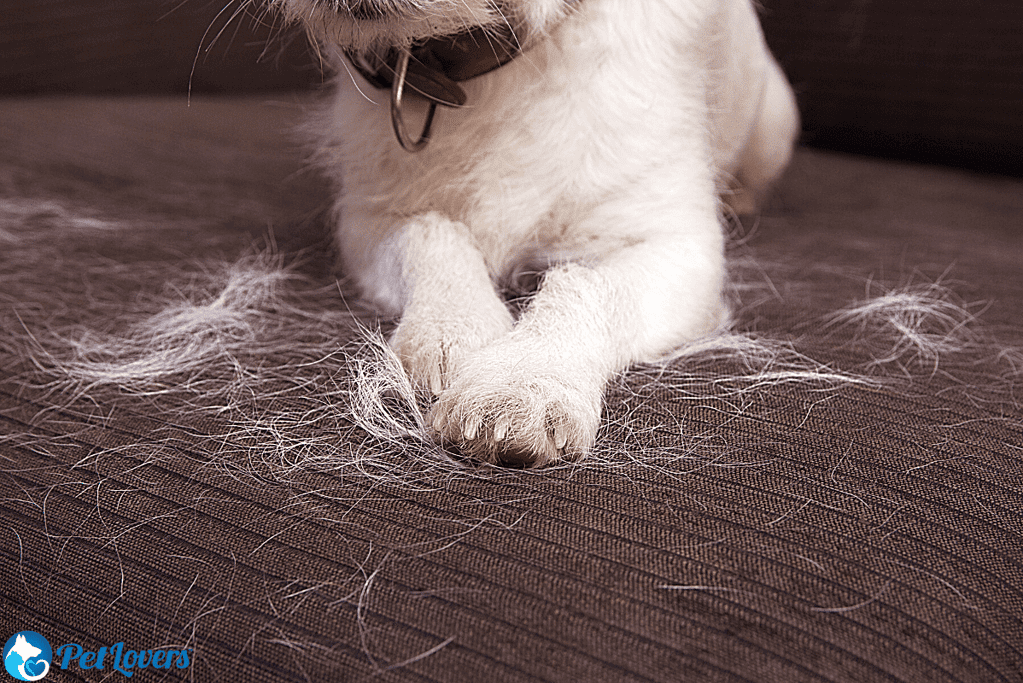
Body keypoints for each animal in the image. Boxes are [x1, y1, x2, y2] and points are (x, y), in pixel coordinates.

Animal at [268, 0, 793, 464]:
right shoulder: (370, 221)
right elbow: (432, 233)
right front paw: (453, 325)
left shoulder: (680, 245)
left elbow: (588, 284)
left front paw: (523, 381)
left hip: (775, 124)